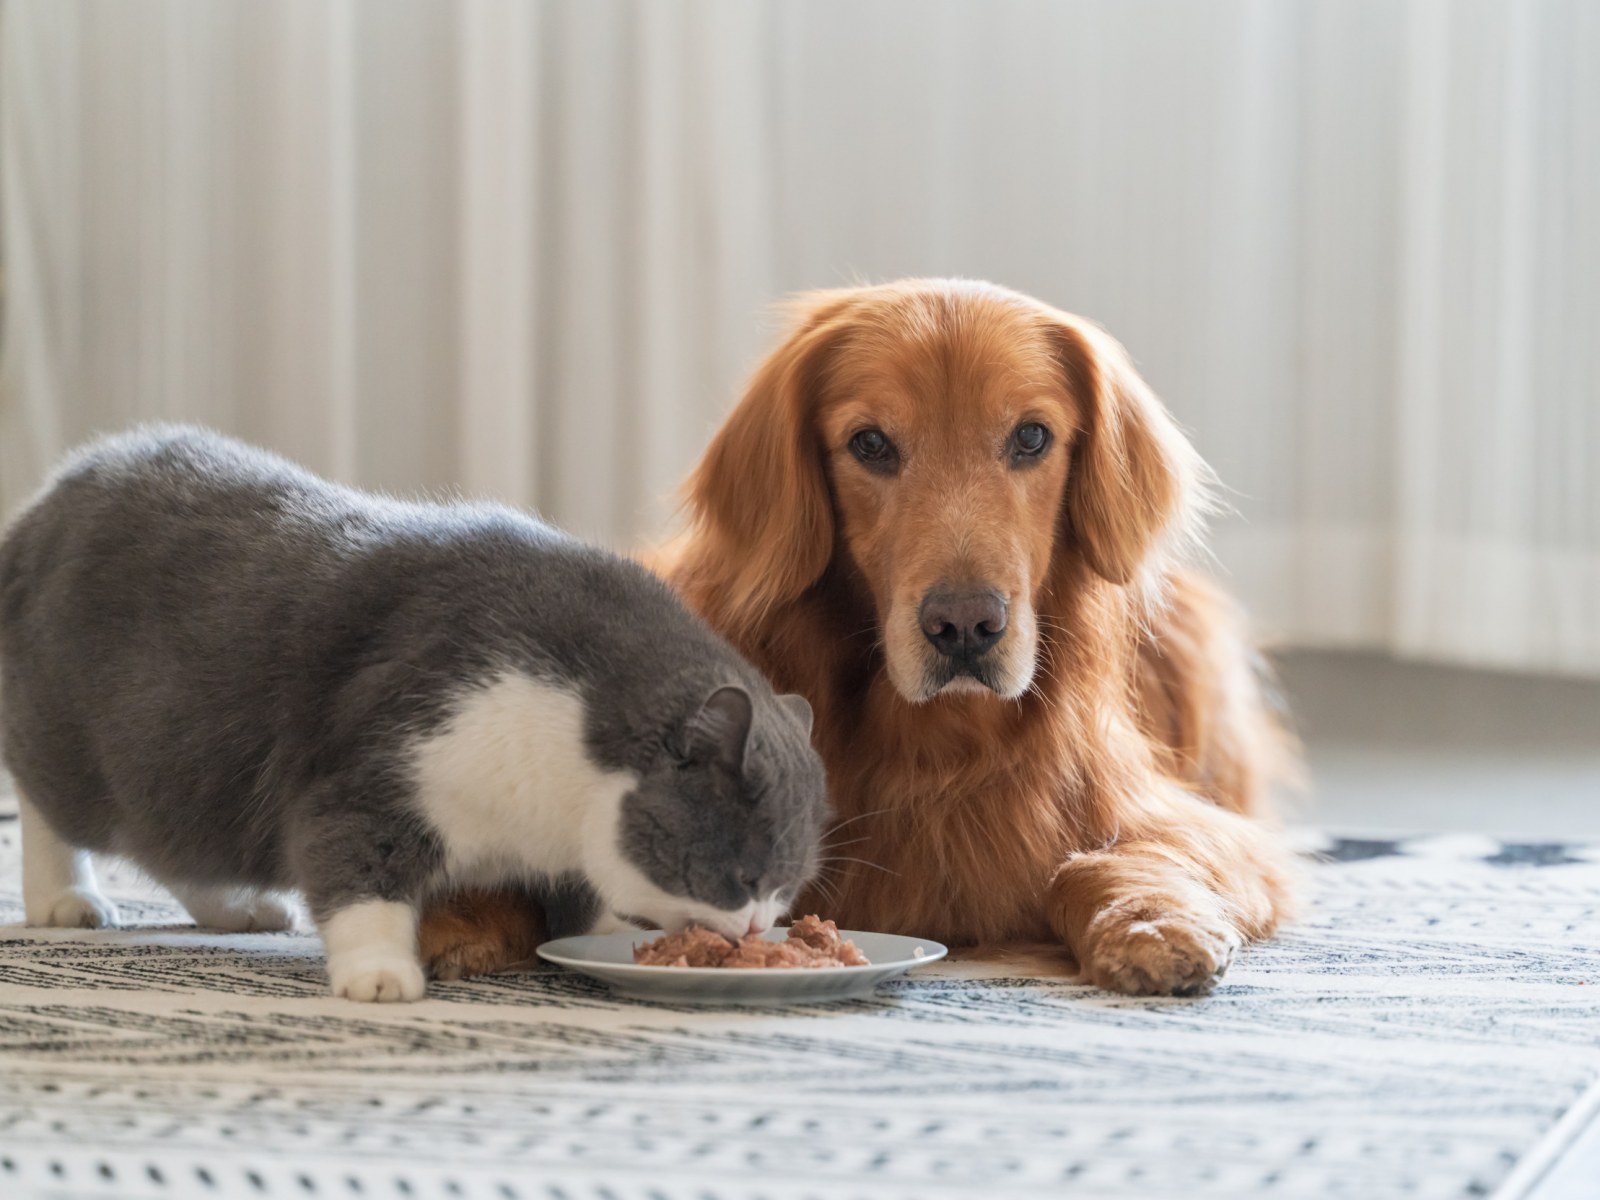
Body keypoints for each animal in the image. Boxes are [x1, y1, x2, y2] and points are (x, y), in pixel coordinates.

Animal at [0, 428, 825, 998]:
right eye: (744, 876)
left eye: (788, 886)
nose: (761, 927)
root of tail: (37, 511)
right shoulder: (370, 773)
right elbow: (359, 873)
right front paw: (378, 975)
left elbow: (583, 903)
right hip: (82, 741)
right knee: (53, 808)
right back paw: (67, 899)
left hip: (185, 778)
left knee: (176, 845)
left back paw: (240, 907)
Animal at [422, 280, 1299, 998]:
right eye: (870, 444)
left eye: (1031, 438)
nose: (964, 627)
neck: (929, 740)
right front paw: (460, 914)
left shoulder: (1185, 824)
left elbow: (1106, 858)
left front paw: (1149, 924)